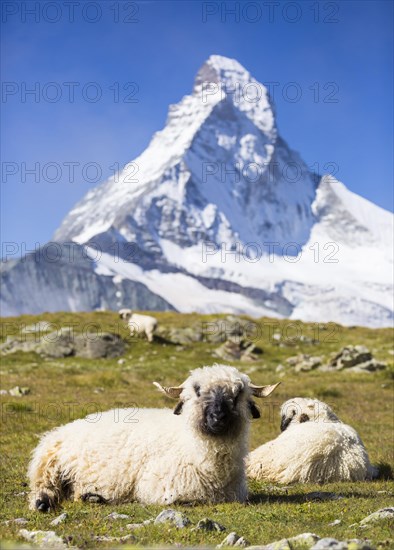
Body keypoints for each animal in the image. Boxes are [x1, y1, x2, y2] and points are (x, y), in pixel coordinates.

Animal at [27, 364, 280, 512]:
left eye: (237, 394)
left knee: (74, 493)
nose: (218, 417)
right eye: (197, 391)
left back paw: (90, 496)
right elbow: (185, 499)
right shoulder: (160, 488)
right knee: (42, 488)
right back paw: (44, 502)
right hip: (48, 464)